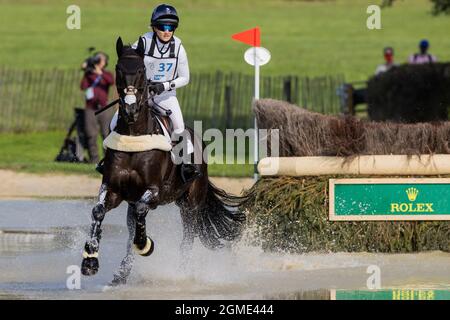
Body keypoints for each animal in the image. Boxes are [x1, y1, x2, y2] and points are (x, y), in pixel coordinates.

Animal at [82, 37, 248, 284]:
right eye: (119, 69)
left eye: (141, 70)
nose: (130, 109)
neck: (134, 134)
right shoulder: (113, 189)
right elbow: (98, 212)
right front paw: (90, 260)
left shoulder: (154, 191)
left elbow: (142, 211)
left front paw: (146, 244)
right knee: (131, 228)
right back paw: (122, 272)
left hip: (190, 205)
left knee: (187, 237)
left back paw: (181, 273)